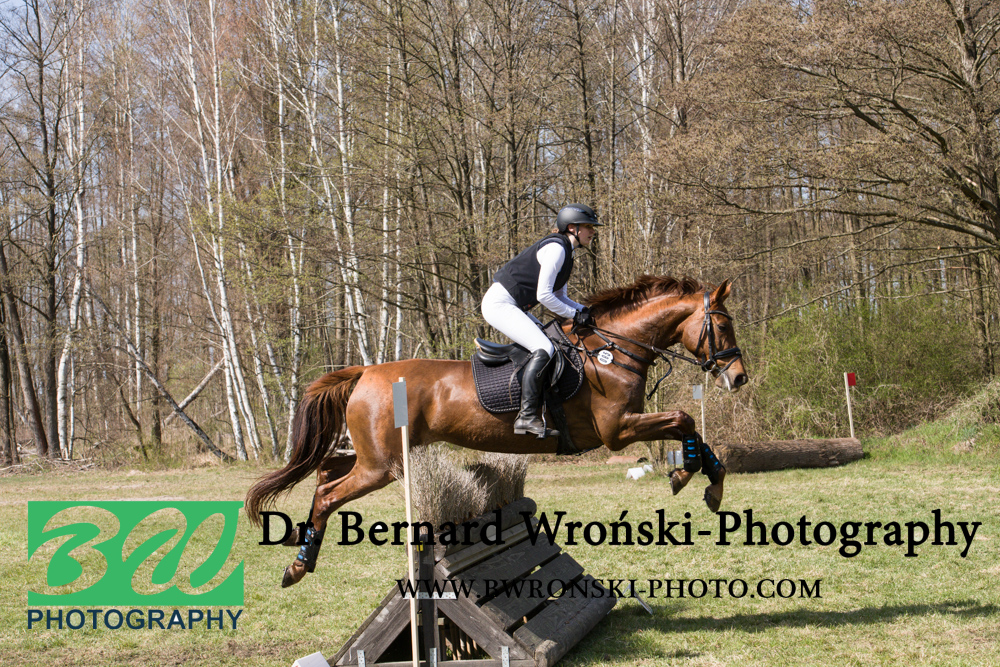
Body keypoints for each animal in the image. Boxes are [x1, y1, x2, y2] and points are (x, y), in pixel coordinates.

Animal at [247, 276, 749, 588]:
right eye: (723, 324)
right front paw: (690, 477)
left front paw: (709, 482)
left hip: (371, 456)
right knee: (330, 493)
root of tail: (366, 370)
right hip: (380, 466)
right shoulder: (616, 432)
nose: (739, 378)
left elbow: (687, 425)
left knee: (323, 476)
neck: (611, 350)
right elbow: (683, 419)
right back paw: (298, 566)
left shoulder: (622, 430)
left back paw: (296, 543)